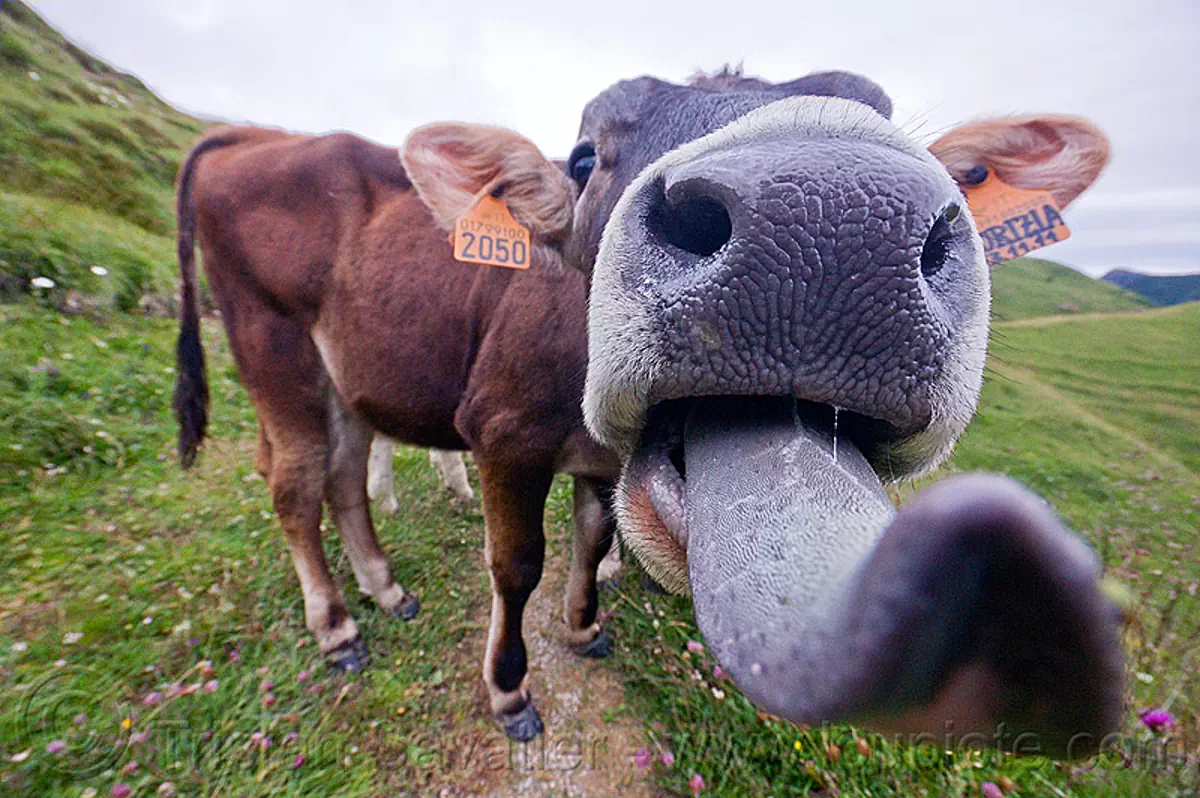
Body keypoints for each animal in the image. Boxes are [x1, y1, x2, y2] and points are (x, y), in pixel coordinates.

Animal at [175, 124, 619, 739]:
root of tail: (256, 137)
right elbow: (518, 566)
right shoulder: (504, 433)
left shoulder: (607, 456)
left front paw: (582, 626)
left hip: (349, 375)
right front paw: (509, 690)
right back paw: (336, 629)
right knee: (294, 486)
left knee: (341, 476)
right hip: (274, 348)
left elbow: (593, 538)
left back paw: (384, 588)